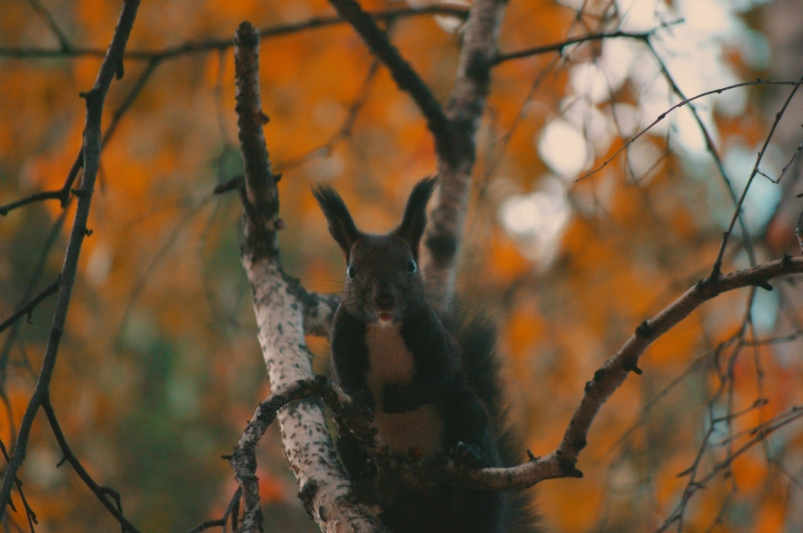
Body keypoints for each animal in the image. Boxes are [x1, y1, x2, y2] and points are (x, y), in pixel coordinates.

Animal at [314, 179, 540, 532]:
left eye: (410, 265)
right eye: (351, 270)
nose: (384, 298)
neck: (385, 329)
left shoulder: (433, 336)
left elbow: (440, 375)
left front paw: (396, 399)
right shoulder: (343, 336)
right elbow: (345, 379)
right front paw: (364, 399)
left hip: (467, 413)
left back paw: (470, 456)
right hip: (351, 446)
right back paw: (364, 474)